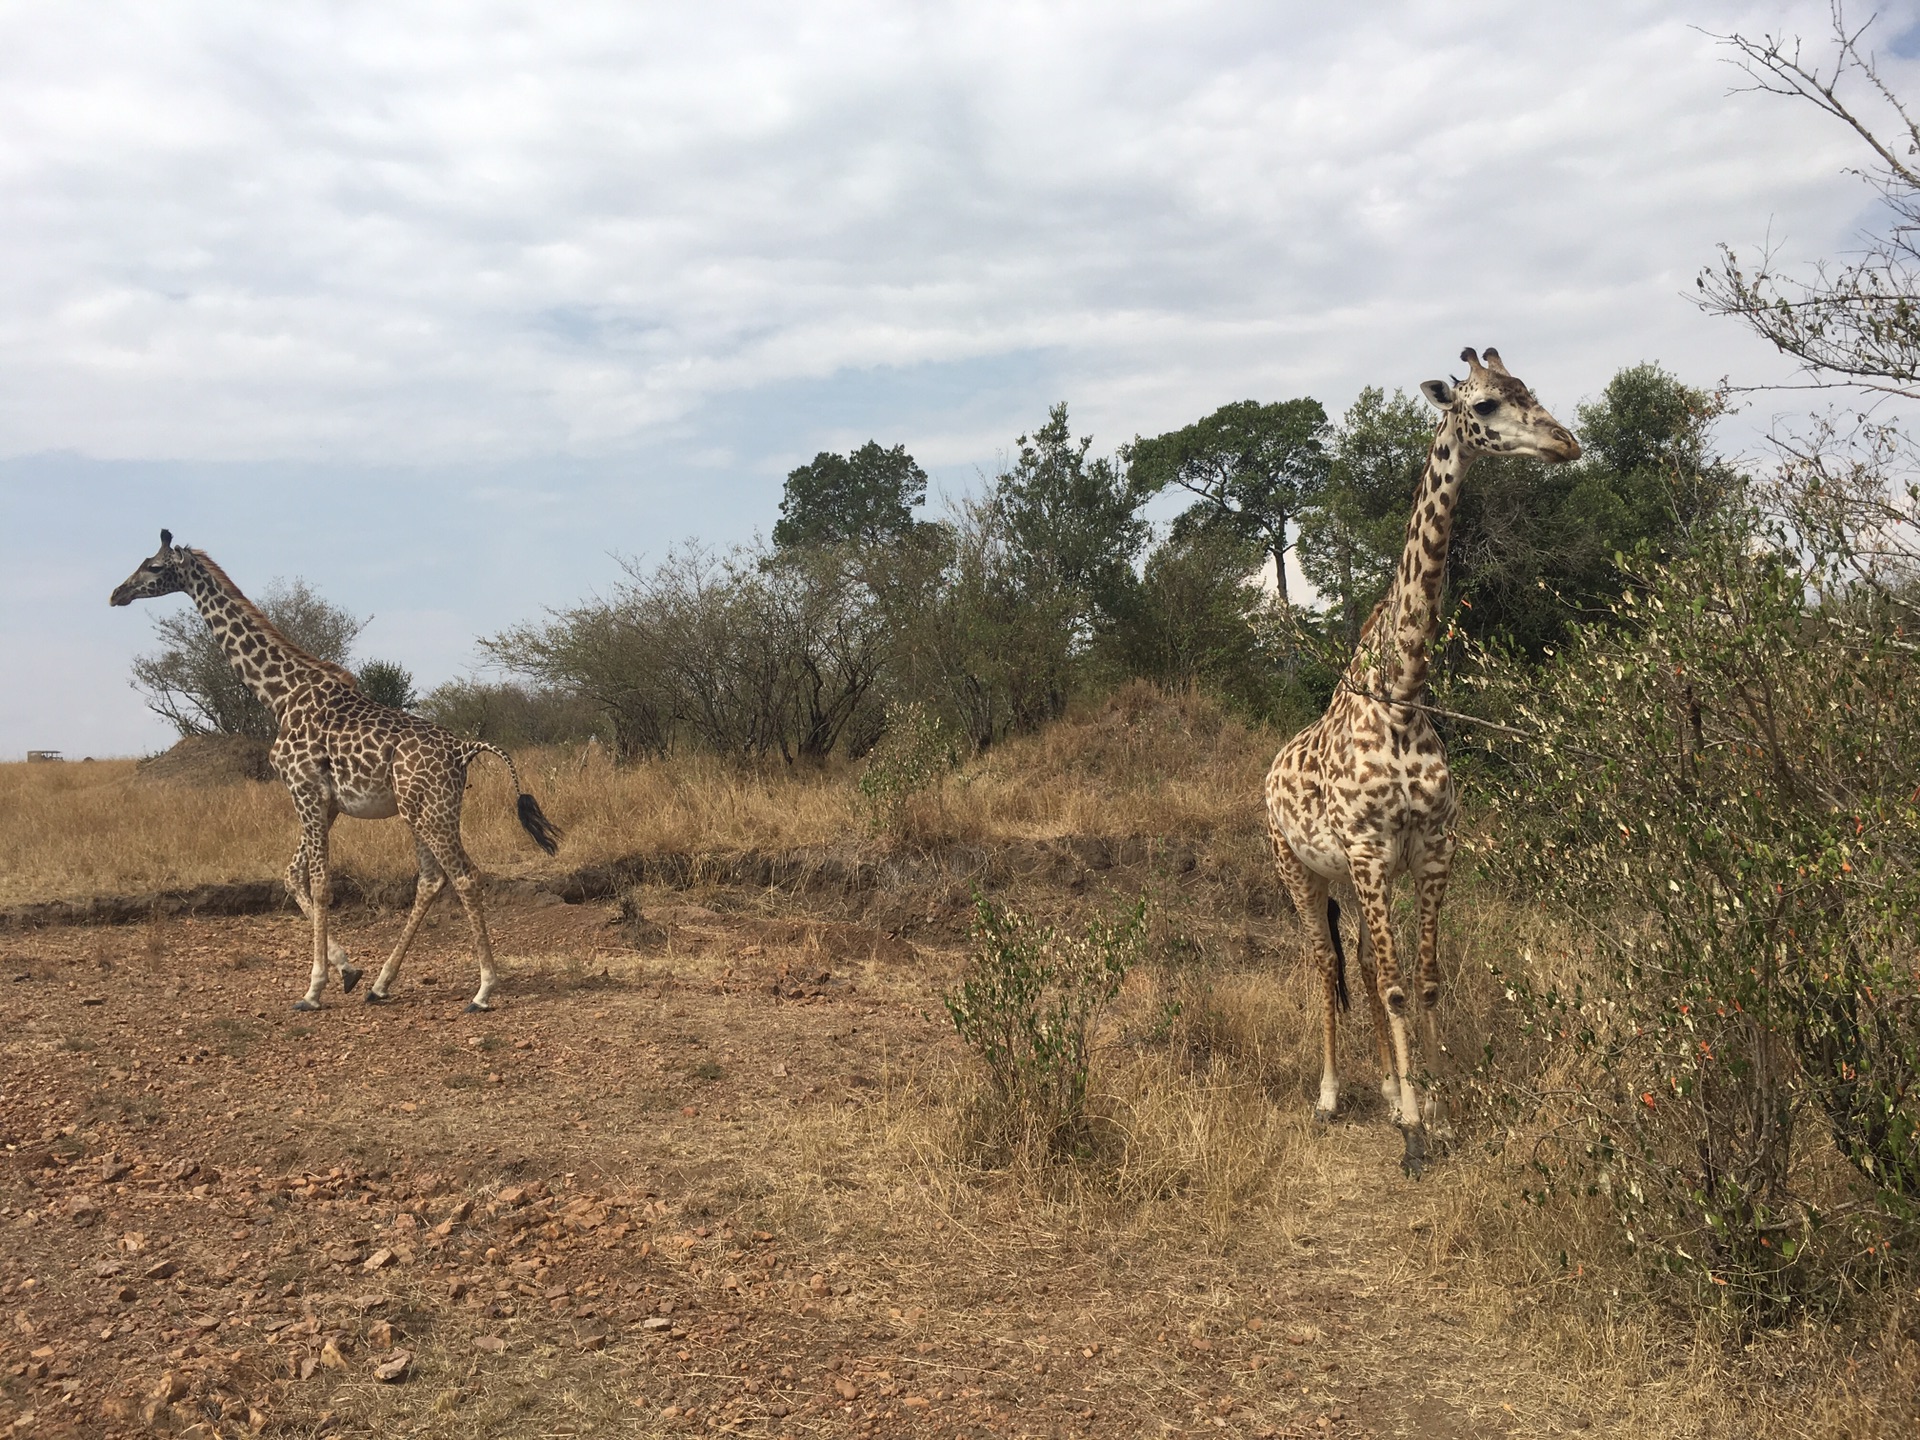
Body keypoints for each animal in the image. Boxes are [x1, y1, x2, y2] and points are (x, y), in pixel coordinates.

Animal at [109, 537, 560, 1021]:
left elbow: (321, 883)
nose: (117, 593)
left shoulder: (304, 789)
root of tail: (465, 750)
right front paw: (348, 970)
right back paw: (381, 984)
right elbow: (292, 875)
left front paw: (314, 988)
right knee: (430, 880)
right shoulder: (326, 803)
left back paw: (483, 989)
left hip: (432, 812)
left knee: (465, 877)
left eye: (154, 566)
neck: (279, 694)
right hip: (419, 811)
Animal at [1259, 347, 1574, 1175]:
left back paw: (1386, 1086)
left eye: (1530, 390)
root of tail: (1266, 774)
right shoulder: (1372, 849)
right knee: (1325, 962)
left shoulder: (1431, 848)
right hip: (1299, 870)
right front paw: (1411, 1132)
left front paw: (1438, 1111)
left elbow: (1423, 983)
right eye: (1486, 405)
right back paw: (1331, 1096)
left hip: (1346, 873)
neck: (1401, 692)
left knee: (1367, 963)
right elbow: (1398, 987)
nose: (1565, 442)